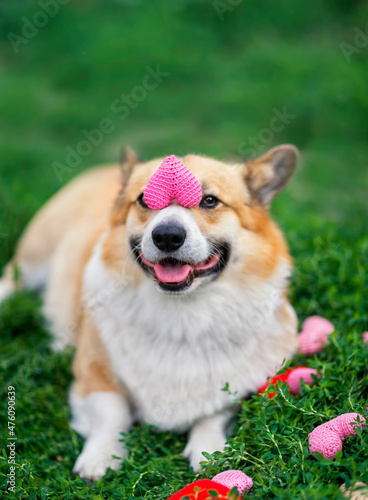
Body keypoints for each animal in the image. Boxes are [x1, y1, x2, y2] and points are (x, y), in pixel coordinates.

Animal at [0, 145, 300, 480]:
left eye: (210, 200)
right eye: (144, 200)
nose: (167, 235)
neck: (182, 313)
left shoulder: (243, 383)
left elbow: (215, 411)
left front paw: (209, 450)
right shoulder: (93, 376)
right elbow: (112, 411)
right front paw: (100, 456)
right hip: (33, 257)